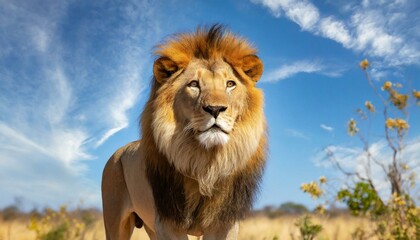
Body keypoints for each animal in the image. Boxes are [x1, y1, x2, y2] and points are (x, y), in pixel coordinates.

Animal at [101, 24, 266, 240]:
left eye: (230, 84)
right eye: (194, 84)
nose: (215, 109)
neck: (205, 162)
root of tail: (118, 151)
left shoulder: (225, 223)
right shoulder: (168, 222)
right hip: (115, 220)